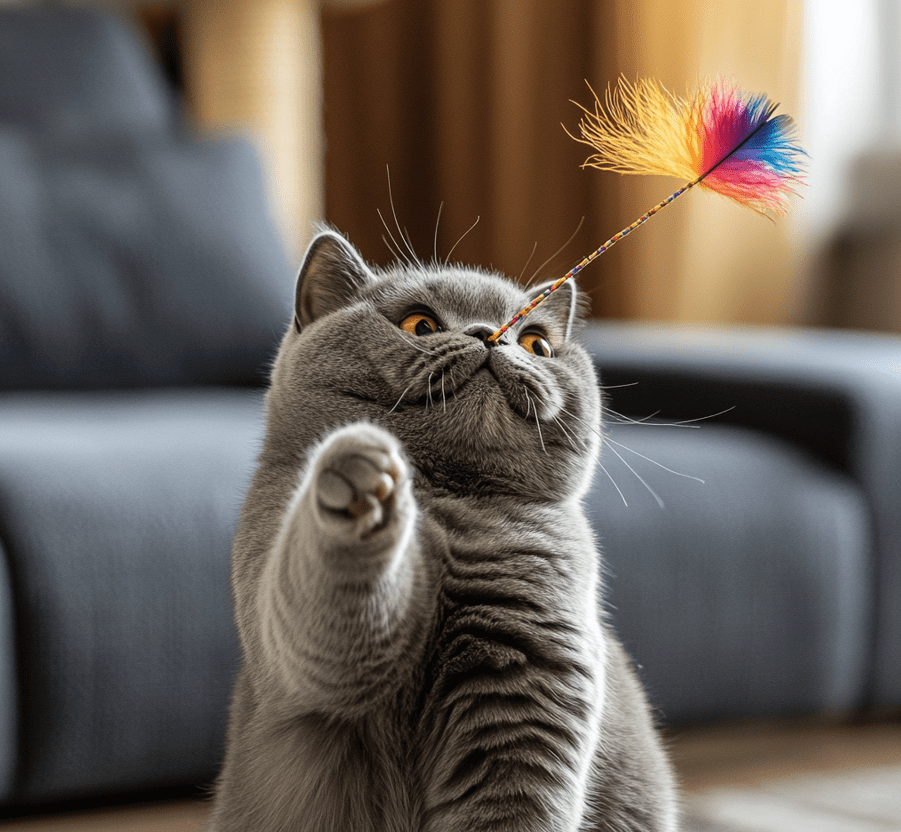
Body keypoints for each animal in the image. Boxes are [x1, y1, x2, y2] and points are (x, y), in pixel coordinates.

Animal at [209, 229, 676, 832]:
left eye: (536, 344)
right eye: (421, 325)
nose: (488, 336)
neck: (452, 514)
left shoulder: (530, 688)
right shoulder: (301, 637)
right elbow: (329, 622)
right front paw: (361, 473)